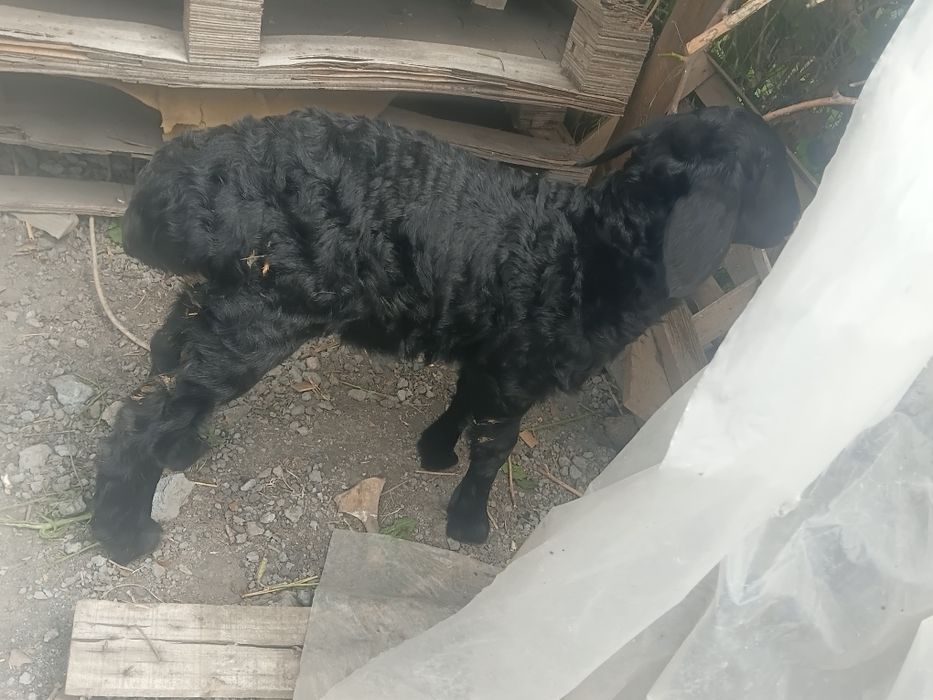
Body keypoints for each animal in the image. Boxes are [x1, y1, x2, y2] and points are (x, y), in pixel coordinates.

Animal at [90, 105, 800, 563]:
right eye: (771, 175)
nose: (796, 219)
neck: (596, 246)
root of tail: (177, 182)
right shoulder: (521, 369)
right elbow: (496, 444)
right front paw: (469, 521)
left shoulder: (489, 350)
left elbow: (463, 402)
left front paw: (434, 451)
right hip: (261, 314)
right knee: (143, 415)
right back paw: (124, 534)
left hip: (227, 297)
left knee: (170, 350)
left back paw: (181, 447)